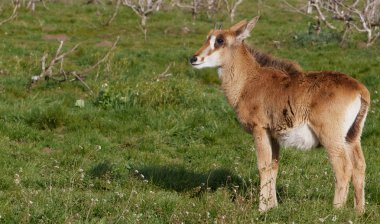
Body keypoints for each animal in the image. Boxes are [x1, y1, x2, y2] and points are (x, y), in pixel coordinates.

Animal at [191, 16, 370, 213]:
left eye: (220, 40)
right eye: (208, 37)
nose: (194, 58)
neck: (249, 80)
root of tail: (359, 90)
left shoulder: (259, 129)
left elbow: (263, 166)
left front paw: (262, 208)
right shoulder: (274, 135)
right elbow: (273, 166)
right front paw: (272, 206)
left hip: (331, 137)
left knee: (343, 167)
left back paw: (335, 211)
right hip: (352, 138)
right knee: (359, 166)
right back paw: (359, 212)